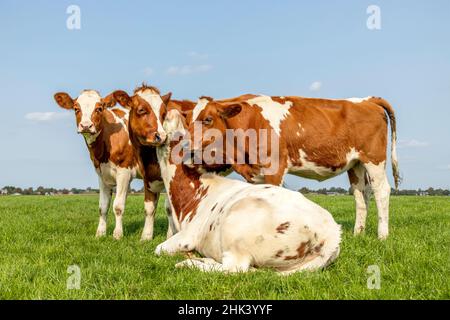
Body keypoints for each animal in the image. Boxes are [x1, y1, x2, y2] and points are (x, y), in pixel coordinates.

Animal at [53, 89, 161, 239]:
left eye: (99, 108)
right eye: (76, 109)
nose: (86, 126)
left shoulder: (124, 172)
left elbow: (118, 206)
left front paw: (117, 234)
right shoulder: (102, 174)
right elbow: (103, 206)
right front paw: (100, 233)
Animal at [185, 94, 400, 239]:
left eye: (208, 119)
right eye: (187, 122)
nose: (186, 147)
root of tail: (368, 100)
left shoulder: (275, 167)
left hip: (374, 158)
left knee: (382, 191)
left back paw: (382, 235)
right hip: (356, 164)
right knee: (361, 195)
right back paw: (358, 233)